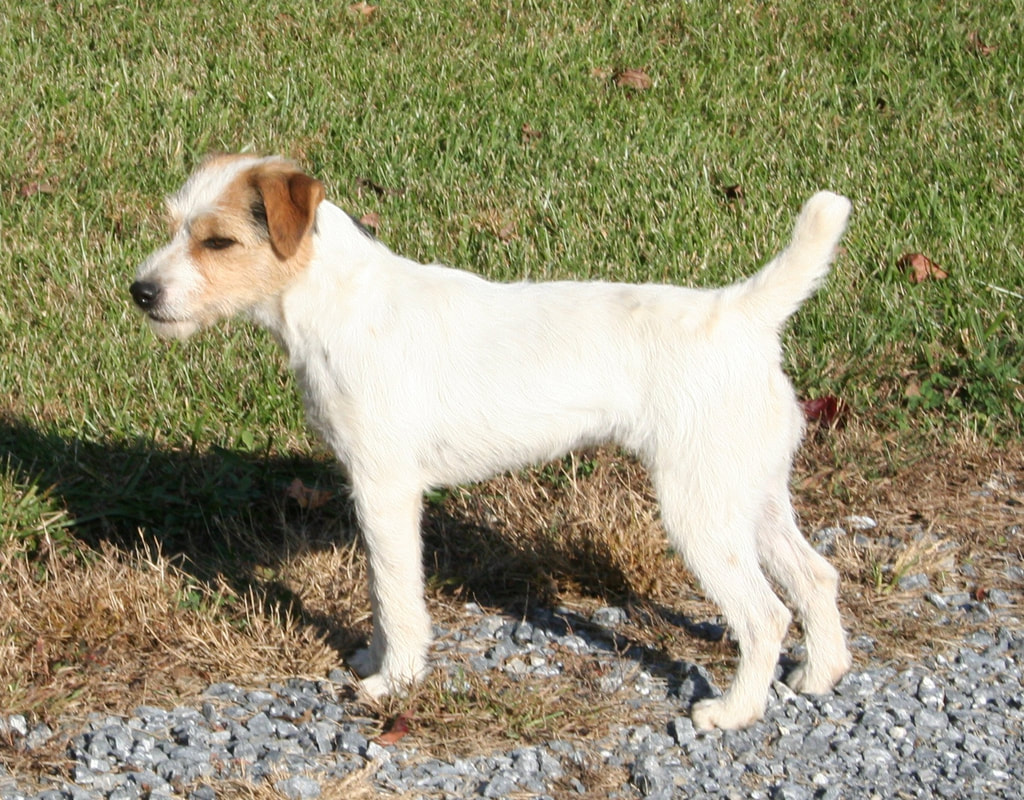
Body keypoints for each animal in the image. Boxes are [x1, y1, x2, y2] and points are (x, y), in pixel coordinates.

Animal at [130, 154, 853, 730]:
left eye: (218, 241)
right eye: (173, 224)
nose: (140, 292)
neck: (336, 300)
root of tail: (741, 313)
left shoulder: (383, 487)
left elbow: (393, 594)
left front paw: (392, 677)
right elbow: (380, 593)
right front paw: (371, 656)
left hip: (699, 510)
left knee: (764, 615)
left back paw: (733, 712)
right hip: (750, 495)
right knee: (816, 577)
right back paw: (820, 675)